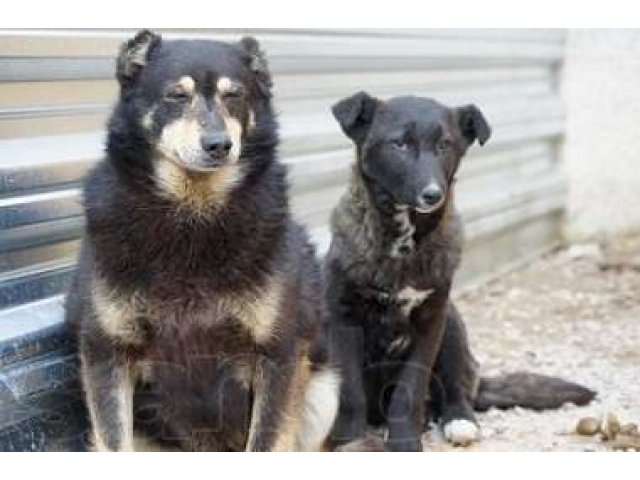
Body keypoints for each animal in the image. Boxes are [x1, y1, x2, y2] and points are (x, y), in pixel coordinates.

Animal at [66, 30, 340, 450]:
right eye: (176, 96)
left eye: (234, 96)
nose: (218, 145)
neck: (193, 213)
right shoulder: (105, 352)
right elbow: (113, 440)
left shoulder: (279, 354)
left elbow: (266, 440)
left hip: (324, 392)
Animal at [324, 92, 596, 452]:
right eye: (399, 144)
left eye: (445, 145)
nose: (432, 194)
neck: (403, 241)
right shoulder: (343, 319)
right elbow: (350, 392)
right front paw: (349, 441)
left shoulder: (431, 321)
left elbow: (409, 390)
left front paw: (405, 443)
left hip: (452, 322)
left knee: (455, 391)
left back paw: (458, 421)